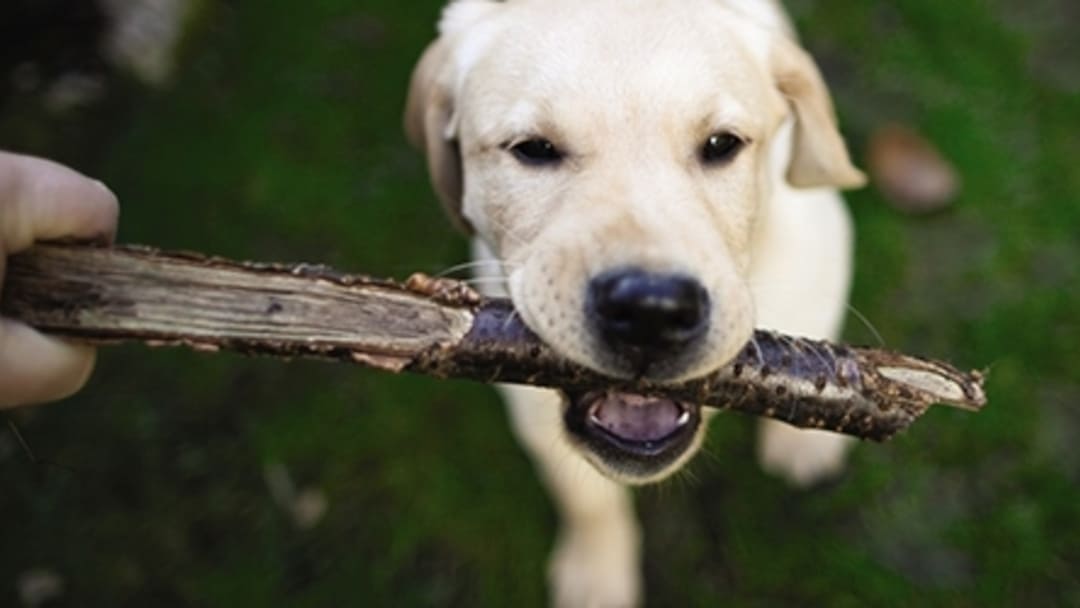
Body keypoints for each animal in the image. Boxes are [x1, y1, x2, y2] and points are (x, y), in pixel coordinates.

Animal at [406, 0, 868, 604]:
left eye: (721, 145)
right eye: (533, 149)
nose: (652, 313)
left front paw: (804, 444)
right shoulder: (528, 400)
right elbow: (585, 497)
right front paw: (597, 572)